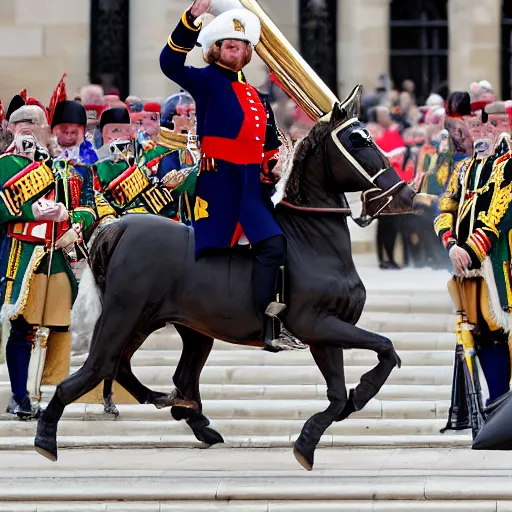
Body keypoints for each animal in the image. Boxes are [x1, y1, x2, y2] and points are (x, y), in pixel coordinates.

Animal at [34, 86, 416, 470]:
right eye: (356, 140)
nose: (405, 195)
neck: (313, 240)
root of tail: (121, 228)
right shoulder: (316, 324)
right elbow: (385, 349)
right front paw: (360, 394)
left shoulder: (327, 331)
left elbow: (340, 393)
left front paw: (311, 438)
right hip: (123, 316)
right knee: (98, 368)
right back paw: (47, 436)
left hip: (176, 327)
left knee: (144, 370)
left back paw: (181, 409)